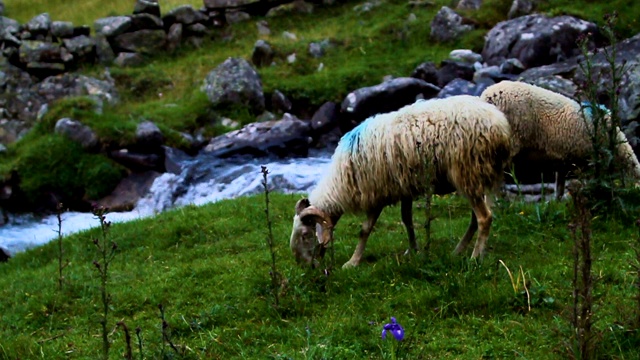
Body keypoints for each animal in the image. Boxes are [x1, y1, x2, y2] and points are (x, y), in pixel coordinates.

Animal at [290, 94, 516, 268]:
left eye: (305, 235)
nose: (304, 265)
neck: (342, 180)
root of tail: (501, 126)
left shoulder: (377, 192)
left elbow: (365, 229)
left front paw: (352, 262)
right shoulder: (404, 186)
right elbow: (407, 219)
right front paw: (413, 250)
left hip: (468, 172)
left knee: (484, 218)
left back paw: (475, 258)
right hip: (479, 176)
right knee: (476, 218)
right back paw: (459, 250)